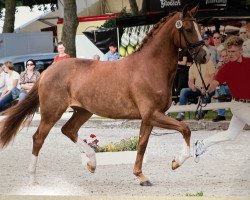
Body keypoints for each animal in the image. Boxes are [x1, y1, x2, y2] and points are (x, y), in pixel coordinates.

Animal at [0, 6, 206, 188]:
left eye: (200, 28)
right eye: (188, 29)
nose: (203, 56)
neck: (150, 67)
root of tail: (46, 72)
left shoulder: (149, 118)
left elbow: (142, 145)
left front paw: (141, 177)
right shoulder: (152, 114)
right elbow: (185, 129)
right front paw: (176, 162)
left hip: (83, 111)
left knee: (68, 130)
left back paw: (91, 163)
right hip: (52, 113)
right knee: (38, 138)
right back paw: (33, 179)